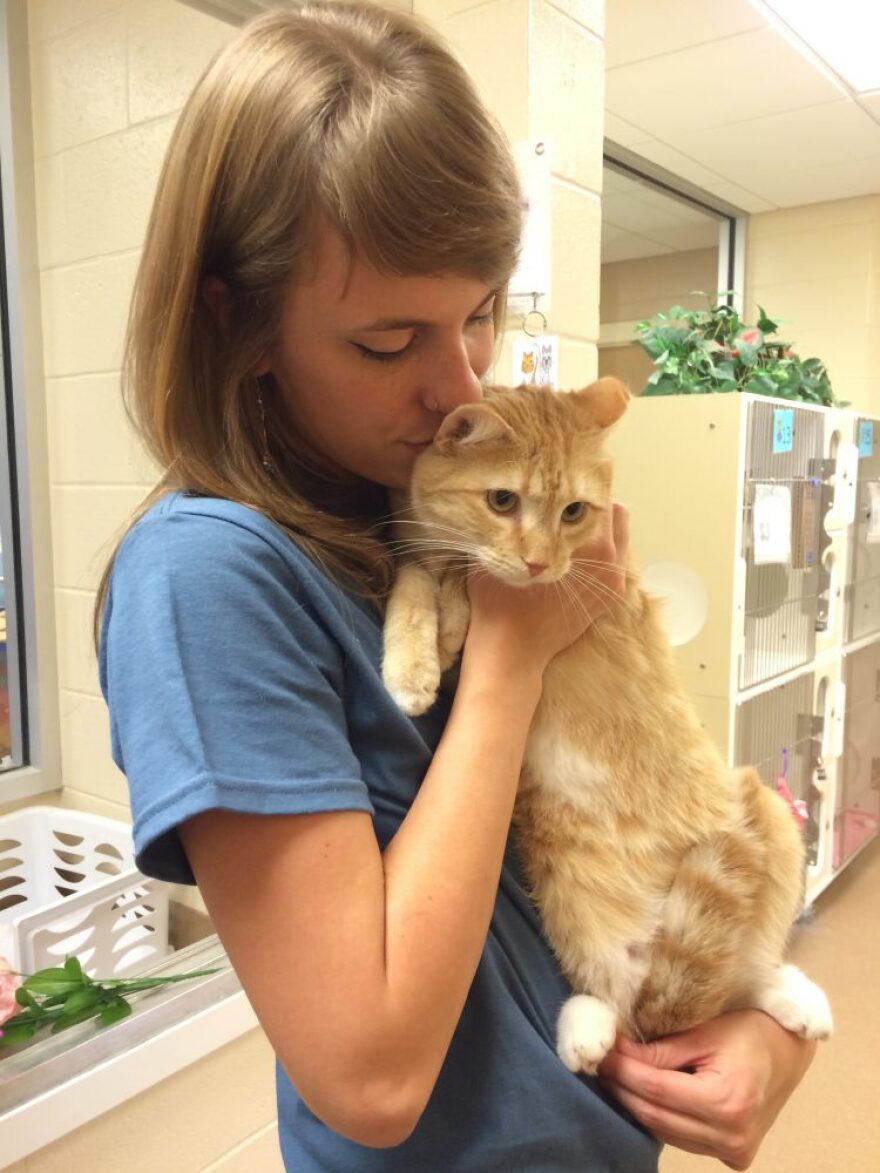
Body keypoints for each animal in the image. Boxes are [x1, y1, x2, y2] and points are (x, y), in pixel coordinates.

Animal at [384, 377, 835, 1074]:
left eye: (574, 511)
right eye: (503, 500)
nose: (540, 565)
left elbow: (454, 585)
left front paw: (446, 630)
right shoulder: (424, 560)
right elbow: (414, 580)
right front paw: (414, 659)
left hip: (772, 828)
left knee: (735, 981)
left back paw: (797, 1000)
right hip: (570, 893)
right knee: (626, 1001)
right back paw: (587, 1032)